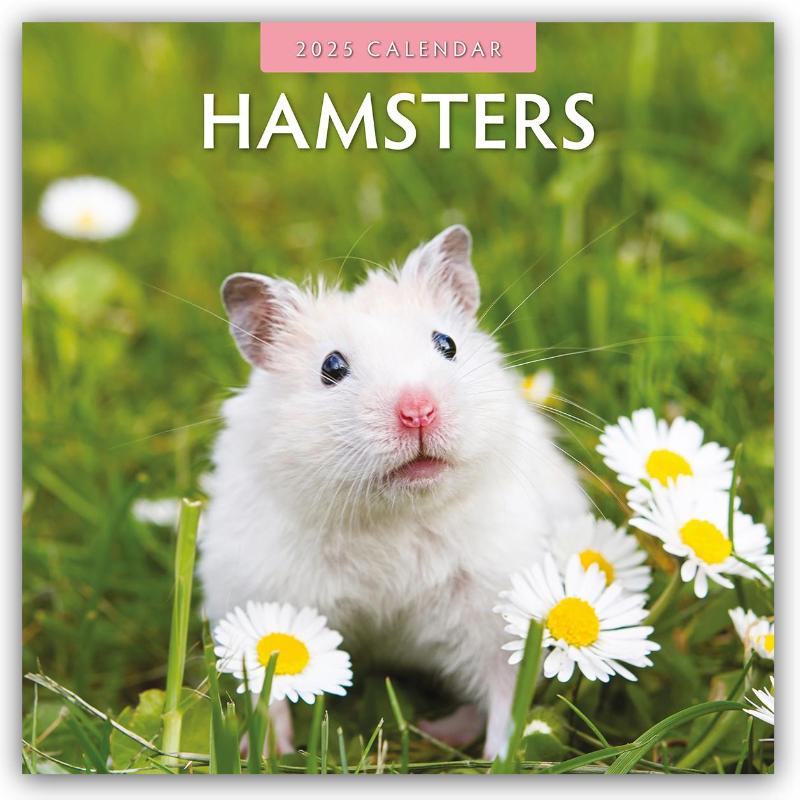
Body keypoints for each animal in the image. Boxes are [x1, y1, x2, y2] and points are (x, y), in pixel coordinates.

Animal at [198, 225, 587, 758]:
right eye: (332, 366)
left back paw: (437, 731)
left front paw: (499, 758)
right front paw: (267, 752)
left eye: (447, 343)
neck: (392, 515)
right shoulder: (259, 595)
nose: (418, 411)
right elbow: (268, 687)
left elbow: (507, 692)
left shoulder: (495, 608)